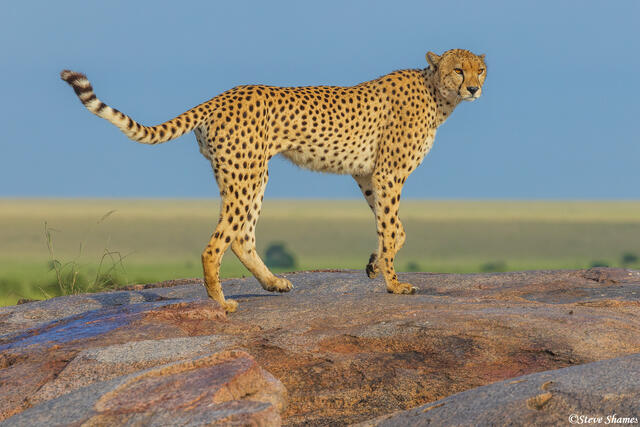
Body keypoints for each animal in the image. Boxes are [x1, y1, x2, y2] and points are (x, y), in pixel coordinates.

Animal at [61, 49, 487, 313]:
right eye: (457, 69)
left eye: (478, 69)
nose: (474, 88)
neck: (437, 92)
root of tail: (223, 95)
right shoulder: (387, 173)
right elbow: (393, 227)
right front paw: (395, 284)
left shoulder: (367, 173)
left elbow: (391, 228)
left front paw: (373, 264)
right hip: (246, 173)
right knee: (218, 242)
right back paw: (221, 304)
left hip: (251, 174)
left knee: (241, 236)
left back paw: (272, 284)